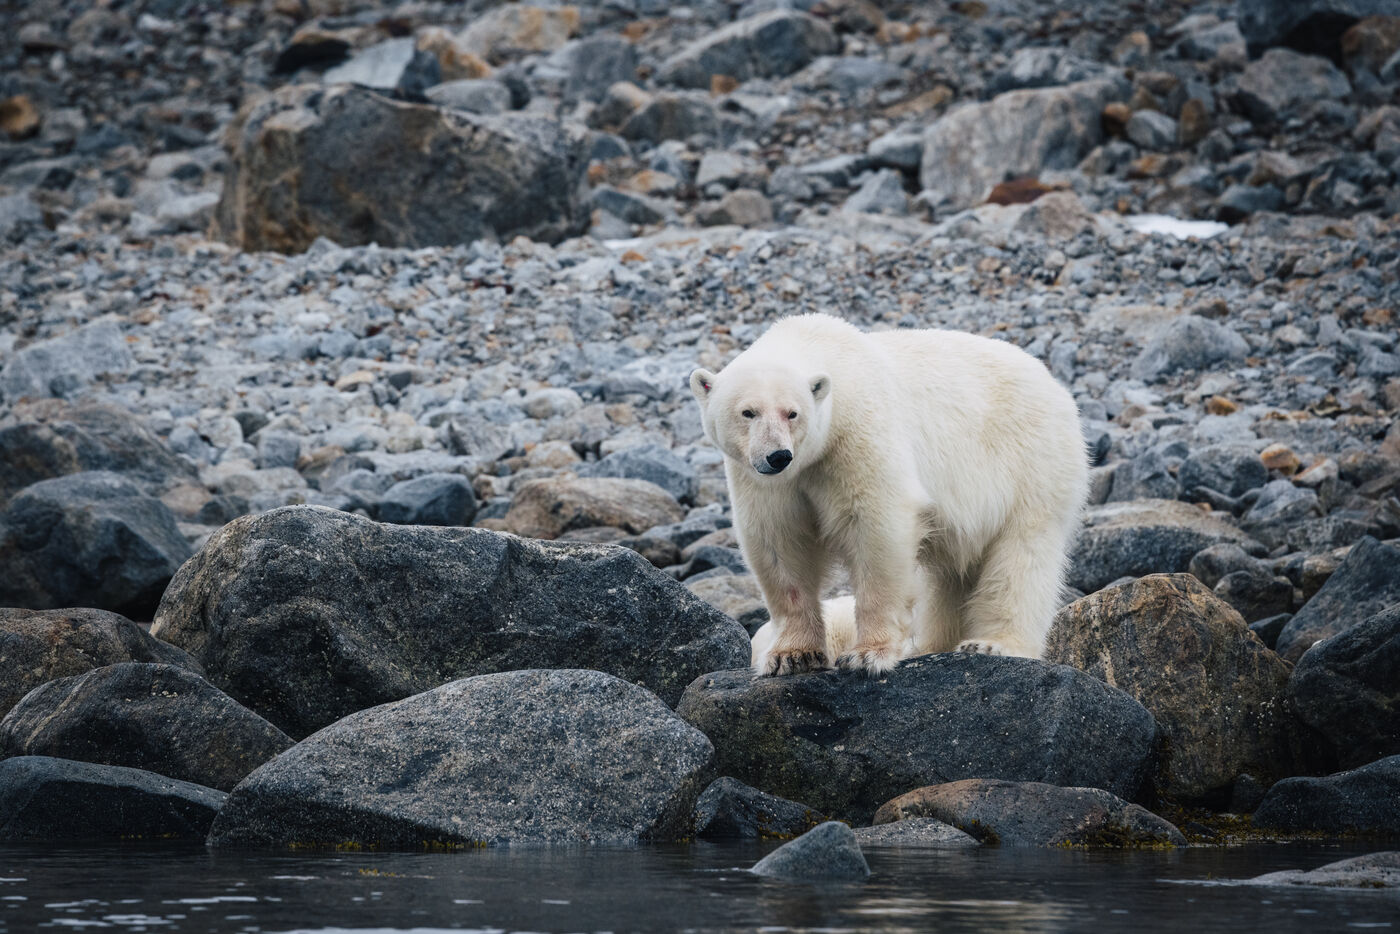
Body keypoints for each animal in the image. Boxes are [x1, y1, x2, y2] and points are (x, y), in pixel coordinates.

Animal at [690, 313, 1088, 675]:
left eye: (793, 413)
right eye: (748, 412)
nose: (778, 456)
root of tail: (1056, 387)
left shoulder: (859, 434)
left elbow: (877, 527)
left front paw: (868, 654)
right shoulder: (763, 480)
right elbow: (779, 543)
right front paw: (792, 656)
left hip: (1032, 462)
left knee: (1022, 555)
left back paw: (992, 643)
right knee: (952, 574)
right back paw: (932, 645)